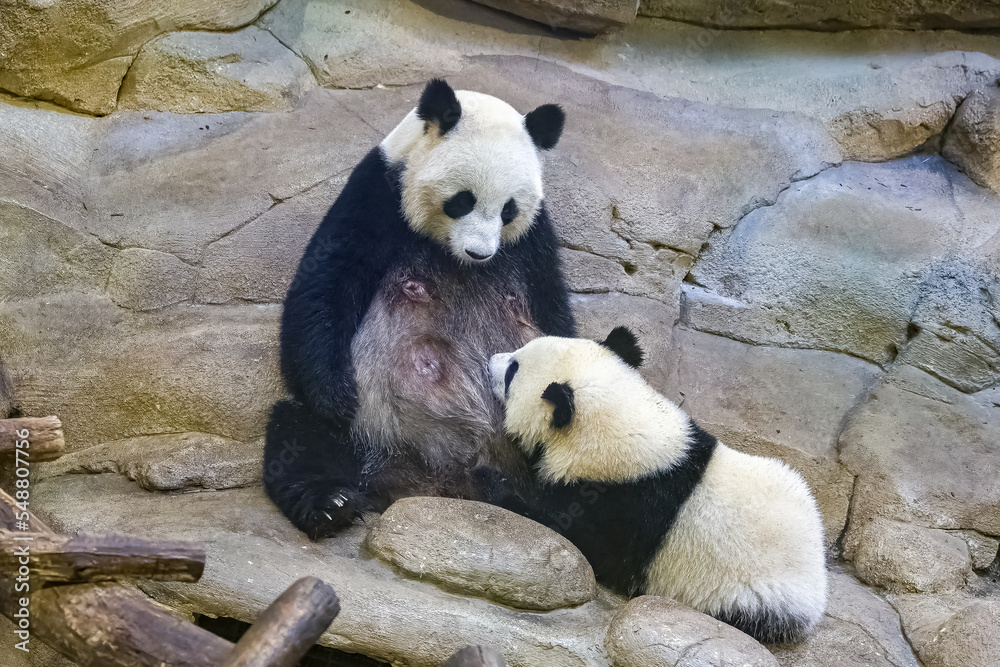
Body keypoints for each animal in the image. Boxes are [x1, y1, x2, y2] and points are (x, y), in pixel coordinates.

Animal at [264, 79, 575, 539]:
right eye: (462, 200)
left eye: (509, 209)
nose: (480, 253)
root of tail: (439, 484)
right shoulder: (377, 195)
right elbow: (326, 284)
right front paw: (335, 395)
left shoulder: (534, 241)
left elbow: (554, 312)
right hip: (368, 433)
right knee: (299, 433)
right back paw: (330, 504)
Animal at [487, 328, 827, 644]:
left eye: (513, 370)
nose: (490, 360)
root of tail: (818, 581)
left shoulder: (620, 505)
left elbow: (566, 528)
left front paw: (493, 482)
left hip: (751, 594)